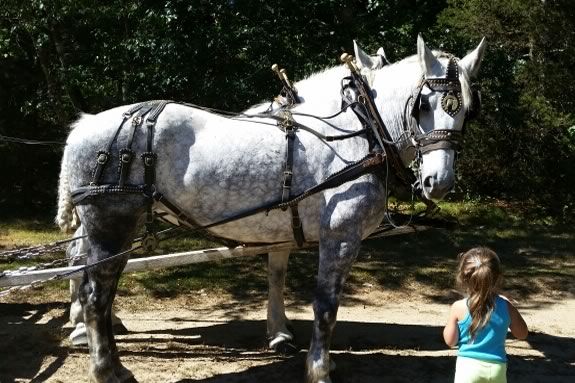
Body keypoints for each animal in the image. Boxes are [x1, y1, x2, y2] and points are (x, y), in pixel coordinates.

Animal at [55, 34, 486, 382]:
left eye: (467, 108)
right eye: (423, 104)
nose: (439, 181)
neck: (359, 132)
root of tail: (83, 125)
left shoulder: (282, 230)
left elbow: (280, 277)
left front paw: (287, 338)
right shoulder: (340, 236)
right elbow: (326, 304)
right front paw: (318, 368)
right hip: (111, 226)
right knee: (95, 295)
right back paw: (107, 368)